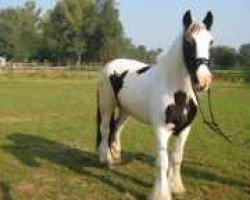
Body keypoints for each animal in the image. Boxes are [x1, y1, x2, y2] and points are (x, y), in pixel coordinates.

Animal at [96, 10, 214, 200]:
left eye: (211, 42)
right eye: (188, 42)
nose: (203, 81)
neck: (176, 90)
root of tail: (110, 65)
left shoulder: (185, 129)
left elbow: (176, 158)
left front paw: (176, 187)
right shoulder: (161, 129)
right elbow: (163, 161)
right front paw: (161, 194)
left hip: (126, 110)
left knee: (117, 128)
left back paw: (116, 154)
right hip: (107, 105)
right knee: (106, 129)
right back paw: (106, 159)